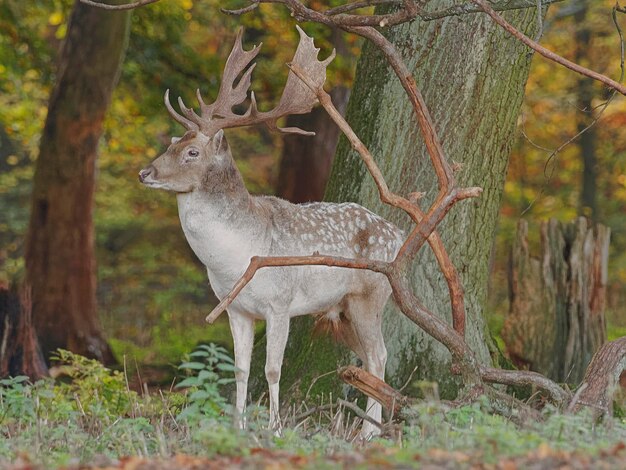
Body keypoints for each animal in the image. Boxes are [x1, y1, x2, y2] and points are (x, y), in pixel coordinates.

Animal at [136, 28, 402, 440]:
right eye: (171, 144)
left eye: (192, 152)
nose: (144, 173)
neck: (235, 257)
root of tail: (399, 233)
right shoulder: (236, 309)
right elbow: (241, 370)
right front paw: (238, 426)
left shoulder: (280, 304)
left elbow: (272, 369)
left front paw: (275, 429)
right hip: (341, 309)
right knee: (366, 359)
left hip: (371, 295)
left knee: (379, 355)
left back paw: (369, 433)